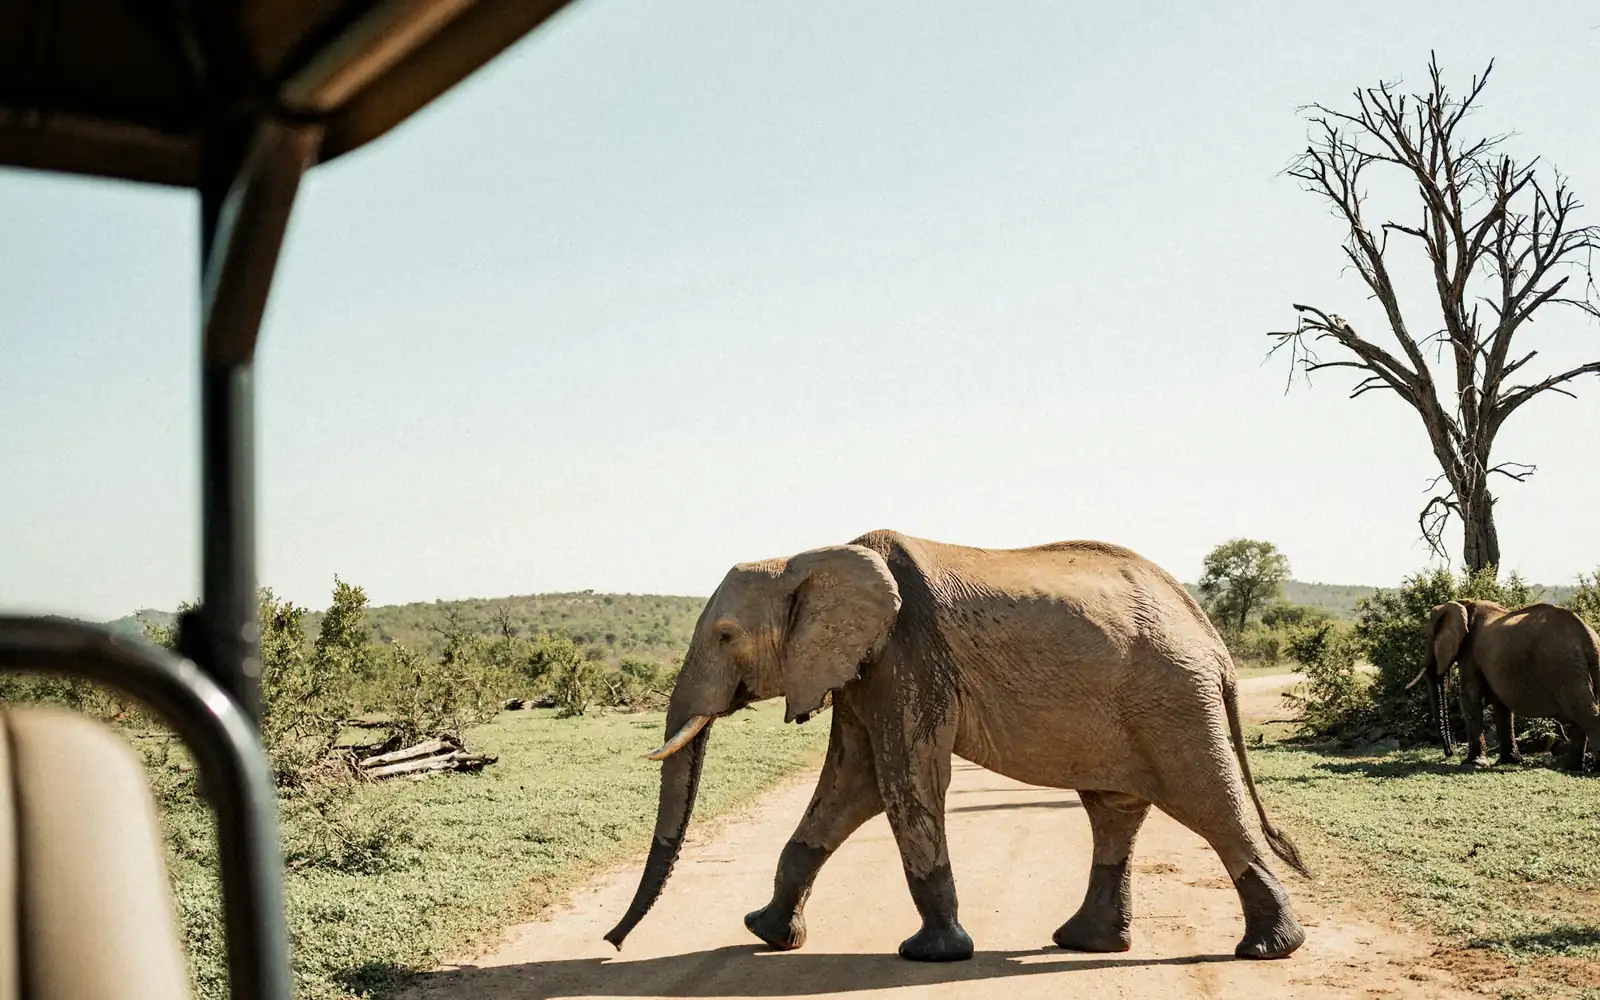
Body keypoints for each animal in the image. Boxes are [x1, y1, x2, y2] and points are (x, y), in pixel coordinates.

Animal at [601, 529, 1311, 962]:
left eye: (724, 636)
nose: (612, 942)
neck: (810, 556)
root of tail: (1212, 637)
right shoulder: (864, 670)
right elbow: (850, 786)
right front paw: (767, 933)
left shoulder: (906, 658)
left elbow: (905, 780)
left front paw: (930, 953)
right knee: (1115, 810)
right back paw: (1086, 943)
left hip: (1173, 700)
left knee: (1210, 804)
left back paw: (1267, 950)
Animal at [1407, 599, 1600, 770]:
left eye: (1427, 636)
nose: (1449, 753)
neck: (1463, 603)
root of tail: (1588, 637)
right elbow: (1501, 704)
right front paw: (1511, 761)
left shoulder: (1471, 653)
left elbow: (1469, 698)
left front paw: (1472, 763)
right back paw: (1571, 767)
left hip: (1565, 668)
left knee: (1584, 713)